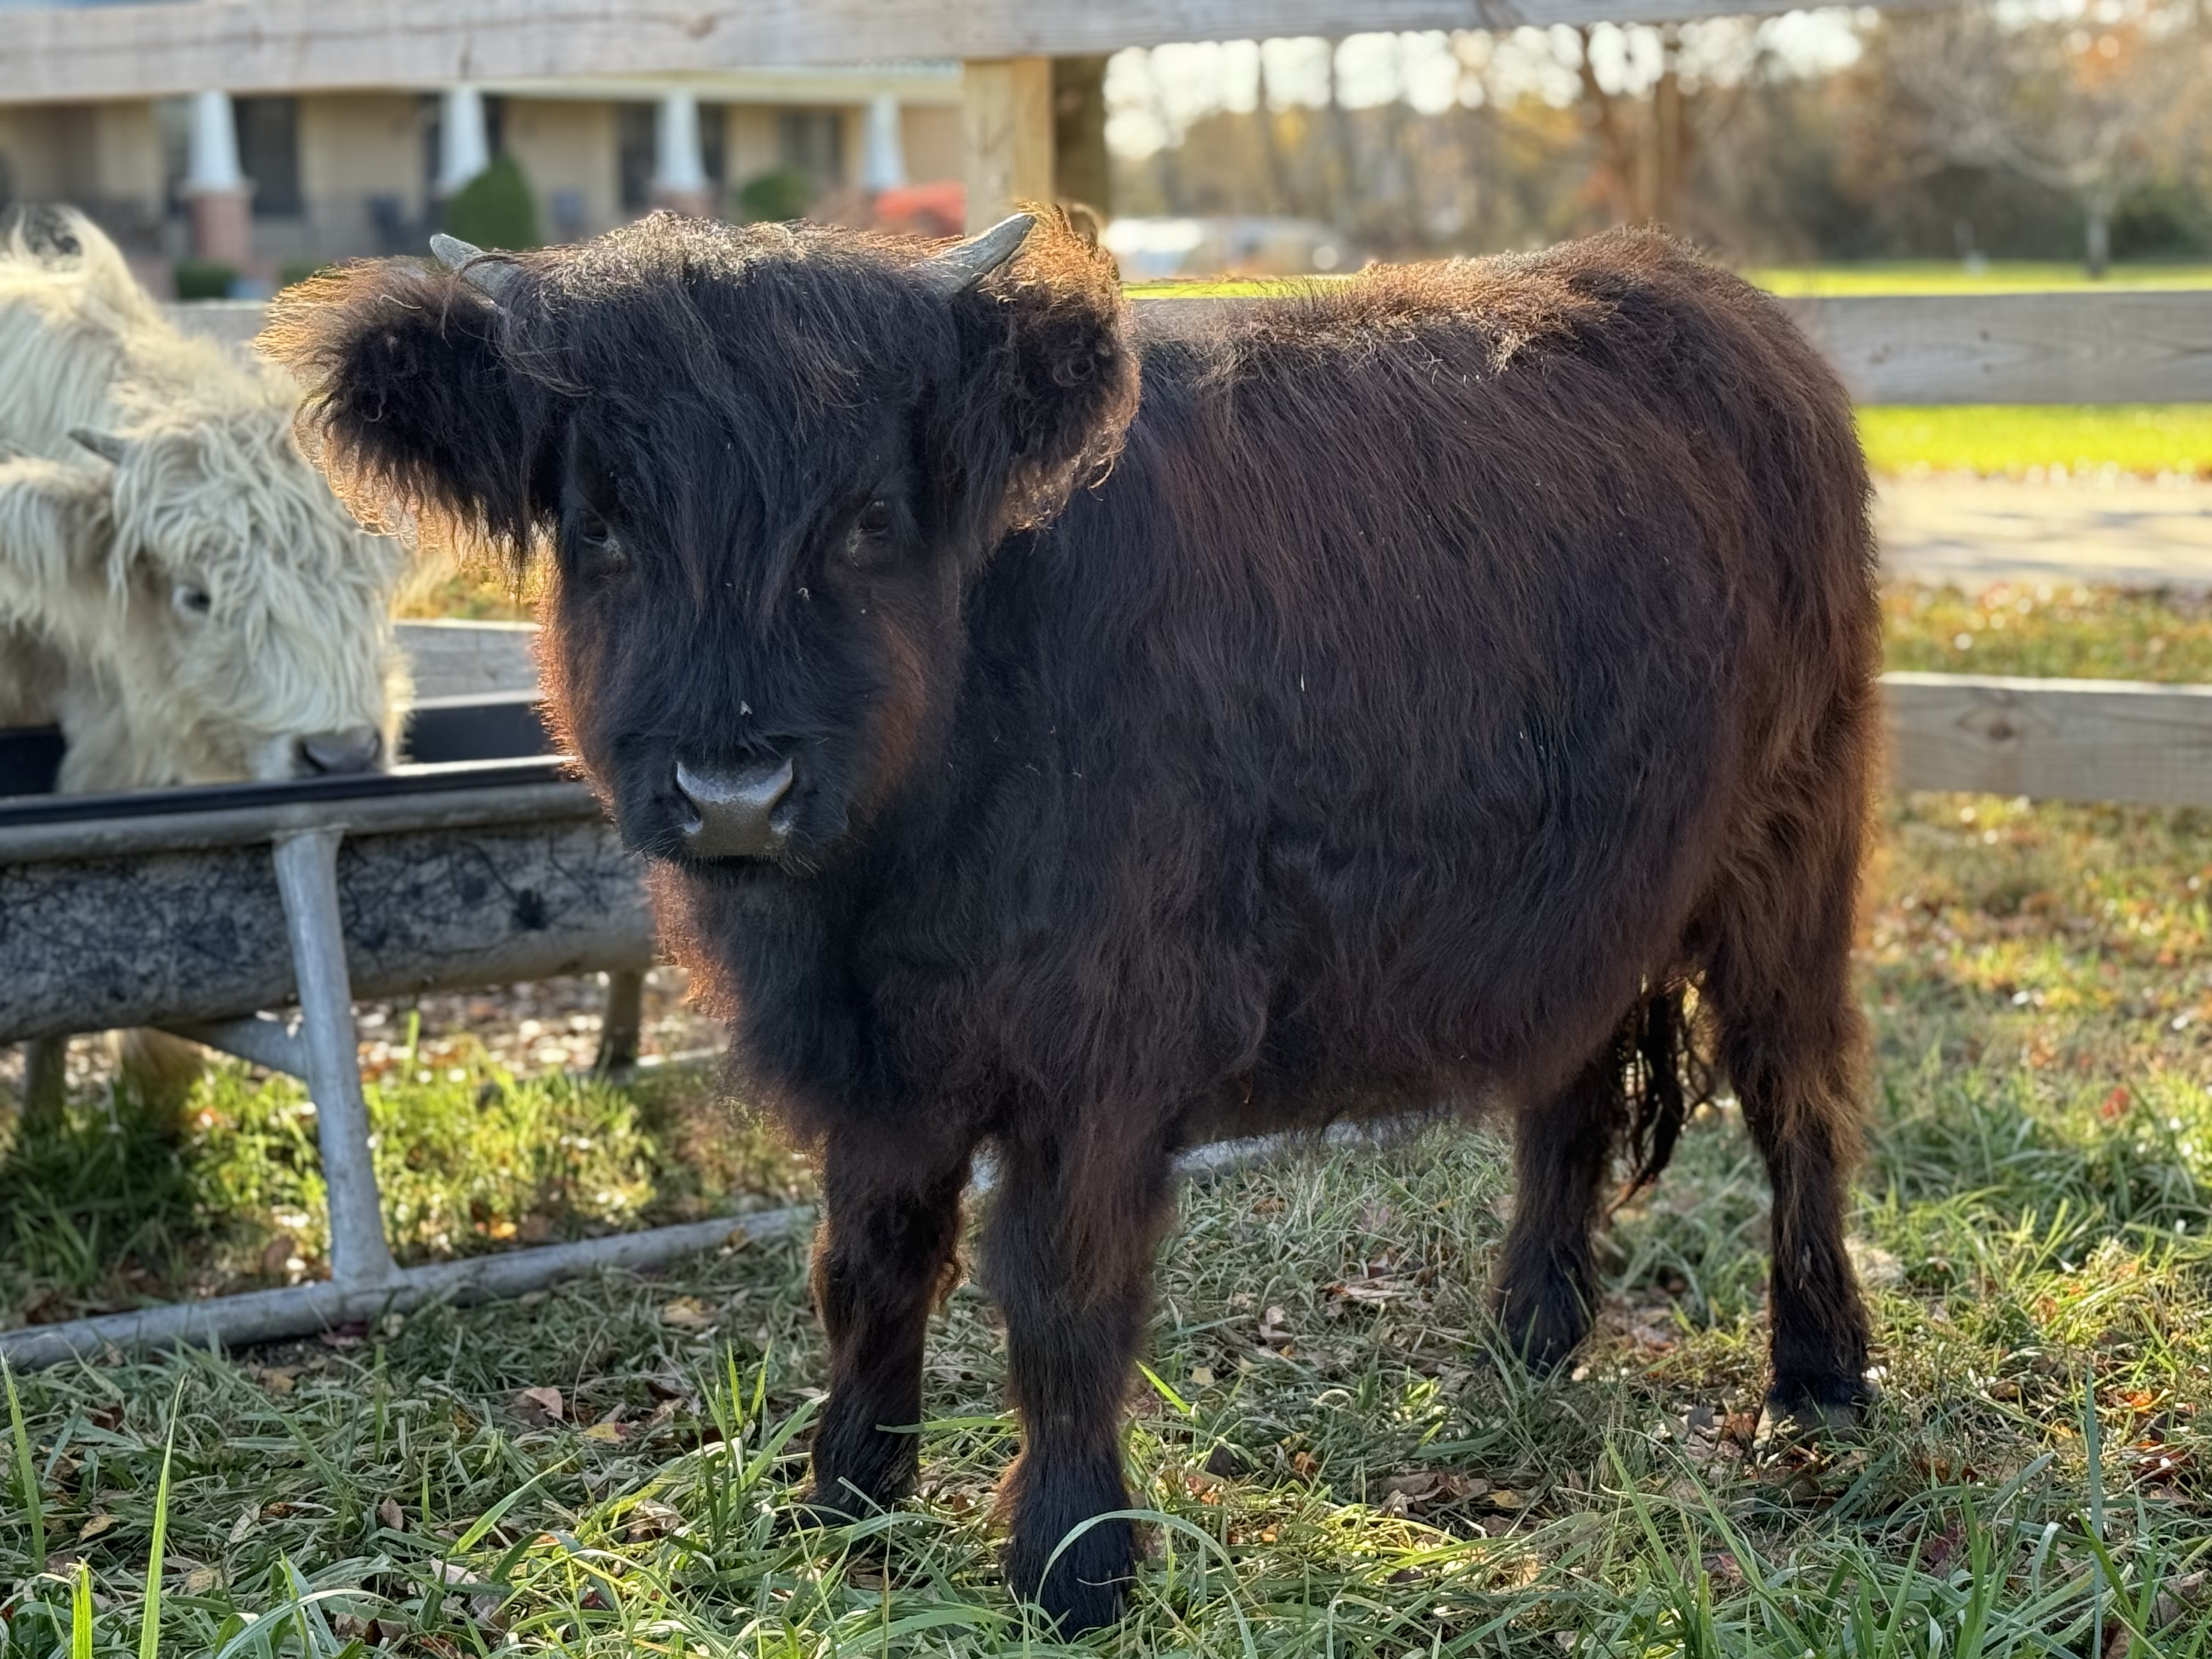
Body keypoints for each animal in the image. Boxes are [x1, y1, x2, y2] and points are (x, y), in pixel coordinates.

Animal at [267, 211, 1880, 1631]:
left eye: (868, 522)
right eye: (600, 529)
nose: (735, 786)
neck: (880, 884)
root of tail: (1702, 292)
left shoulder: (1101, 1049)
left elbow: (1062, 1294)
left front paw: (1076, 1564)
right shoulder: (879, 1066)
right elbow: (866, 1267)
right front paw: (847, 1500)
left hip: (1791, 854)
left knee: (1796, 1097)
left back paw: (1816, 1379)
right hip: (1587, 897)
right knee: (1571, 1090)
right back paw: (1529, 1340)